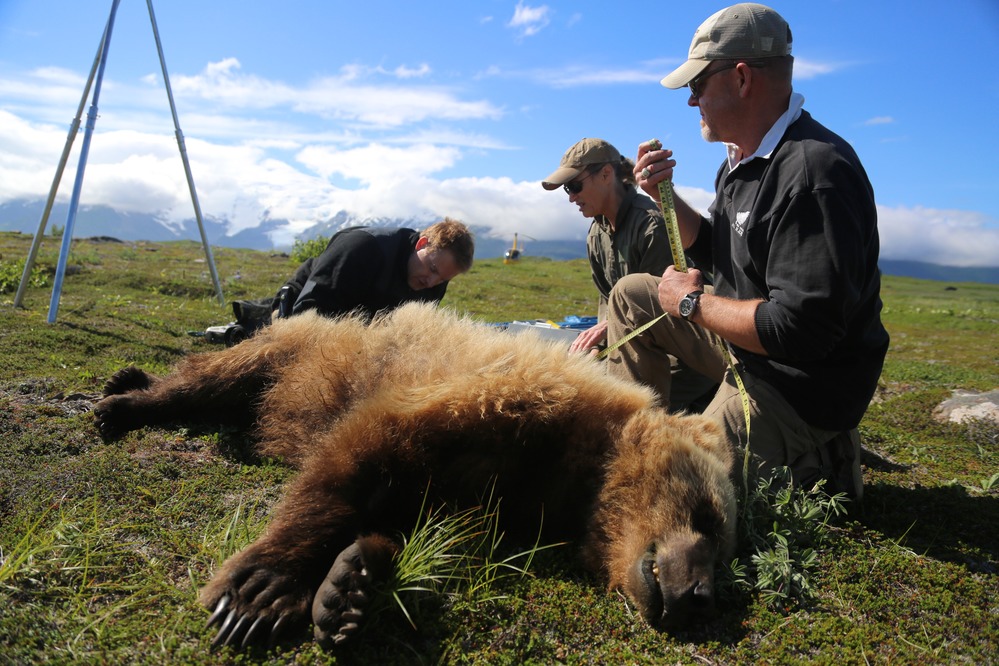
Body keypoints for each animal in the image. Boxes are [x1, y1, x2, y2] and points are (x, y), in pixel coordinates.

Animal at [93, 302, 737, 650]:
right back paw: (123, 400)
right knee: (217, 374)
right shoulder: (511, 396)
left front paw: (349, 584)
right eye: (710, 518)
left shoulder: (495, 493)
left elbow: (422, 521)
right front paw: (260, 592)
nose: (700, 597)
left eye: (722, 542)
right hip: (296, 348)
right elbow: (362, 450)